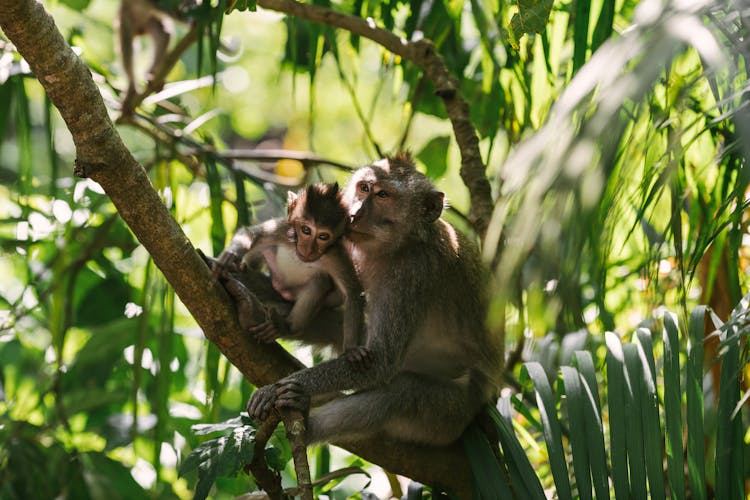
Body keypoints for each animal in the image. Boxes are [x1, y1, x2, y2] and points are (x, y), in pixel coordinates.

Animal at [213, 184, 368, 364]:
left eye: (323, 236)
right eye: (306, 230)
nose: (308, 250)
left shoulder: (335, 255)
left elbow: (353, 293)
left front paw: (351, 349)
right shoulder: (283, 230)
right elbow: (252, 234)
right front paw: (230, 257)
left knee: (320, 282)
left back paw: (285, 327)